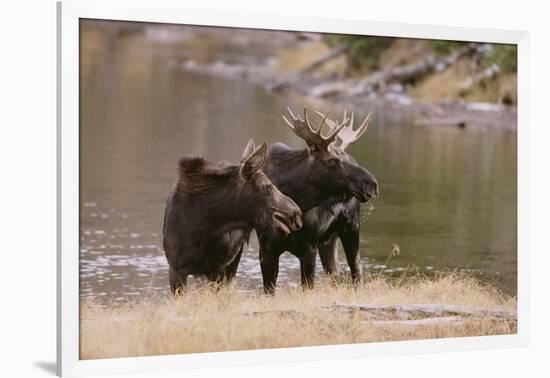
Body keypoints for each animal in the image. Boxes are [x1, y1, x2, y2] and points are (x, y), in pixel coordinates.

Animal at [258, 108, 380, 294]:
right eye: (332, 161)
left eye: (348, 159)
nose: (372, 184)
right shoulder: (266, 248)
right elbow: (269, 291)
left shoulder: (308, 248)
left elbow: (307, 287)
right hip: (328, 240)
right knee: (336, 273)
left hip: (351, 227)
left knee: (356, 269)